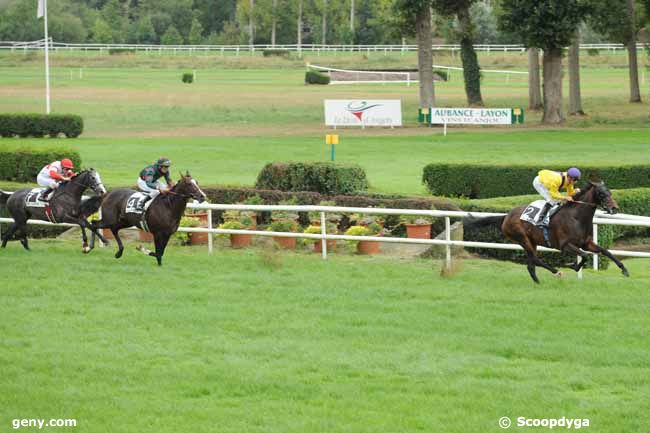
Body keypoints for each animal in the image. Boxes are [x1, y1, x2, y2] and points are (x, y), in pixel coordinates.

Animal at [466, 180, 628, 284]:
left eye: (610, 192)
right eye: (601, 193)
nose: (614, 208)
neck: (576, 217)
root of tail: (506, 216)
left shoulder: (586, 243)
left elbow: (605, 251)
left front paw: (624, 270)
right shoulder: (565, 245)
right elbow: (585, 256)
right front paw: (572, 266)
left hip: (531, 241)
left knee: (531, 264)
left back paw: (537, 282)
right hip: (523, 239)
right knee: (536, 260)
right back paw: (557, 271)